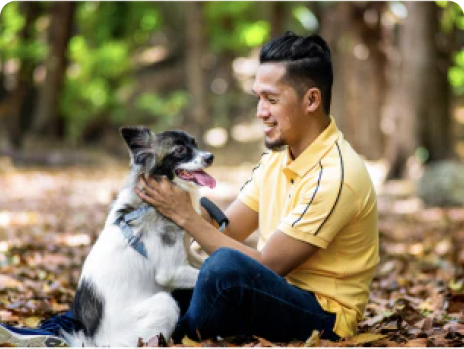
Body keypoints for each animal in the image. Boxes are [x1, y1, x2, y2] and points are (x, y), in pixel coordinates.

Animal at [64, 125, 217, 346]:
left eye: (194, 143)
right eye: (180, 150)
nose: (210, 157)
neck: (148, 205)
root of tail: (97, 341)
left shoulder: (187, 253)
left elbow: (207, 260)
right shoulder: (170, 271)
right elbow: (202, 272)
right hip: (164, 304)